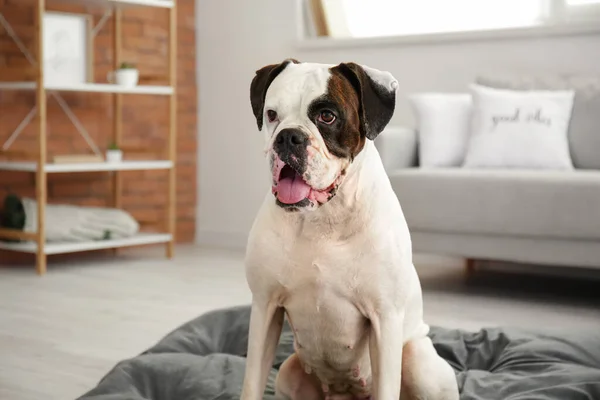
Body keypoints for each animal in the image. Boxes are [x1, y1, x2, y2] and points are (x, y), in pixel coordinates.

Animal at [241, 59, 458, 400]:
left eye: (327, 116)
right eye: (272, 114)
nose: (288, 137)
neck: (324, 219)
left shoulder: (384, 319)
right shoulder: (265, 308)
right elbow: (251, 383)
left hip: (419, 365)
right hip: (289, 373)